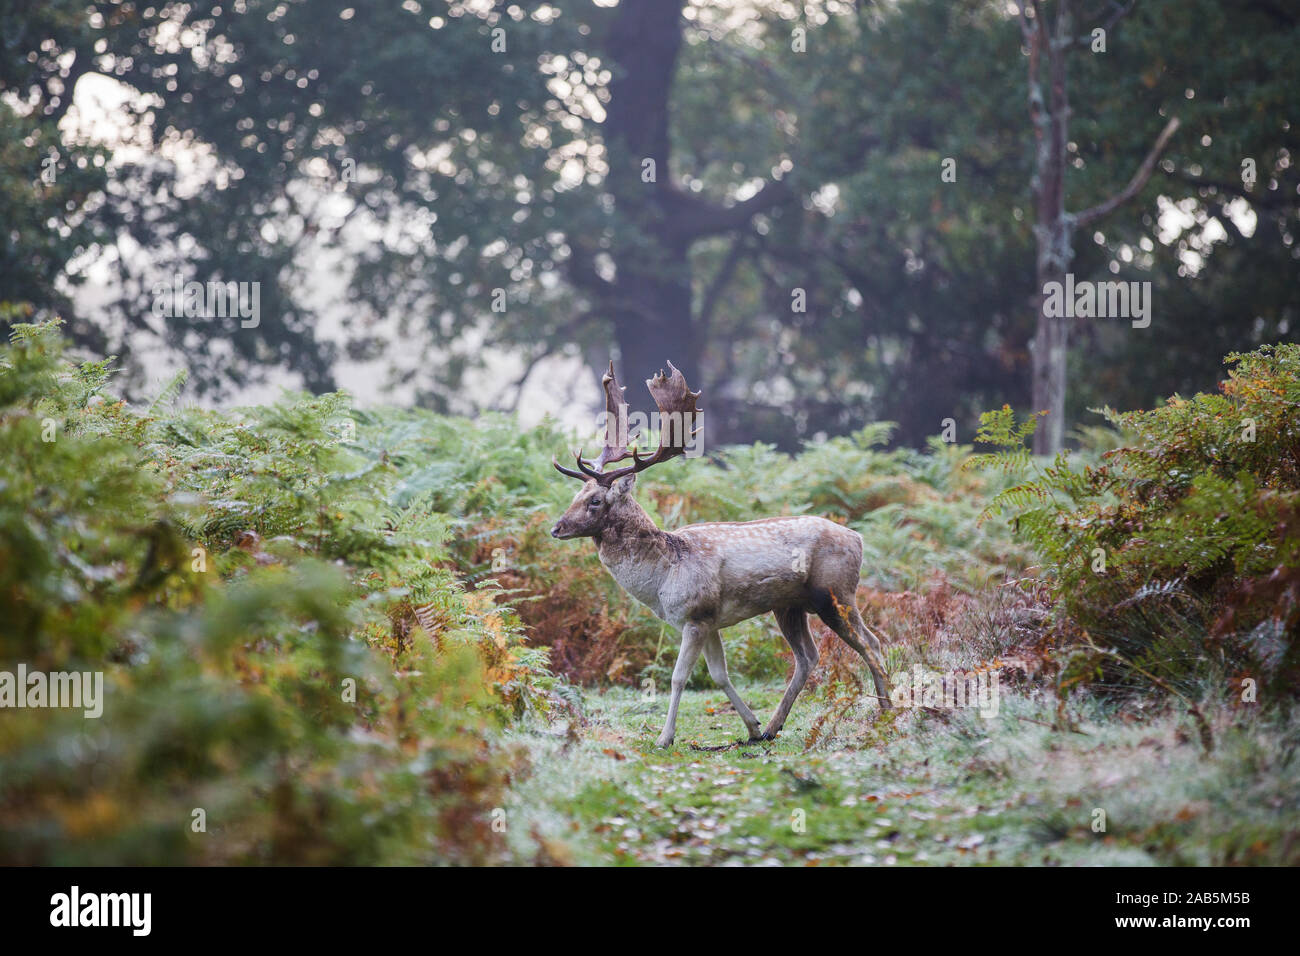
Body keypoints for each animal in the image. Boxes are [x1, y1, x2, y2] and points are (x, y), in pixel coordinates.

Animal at [548, 358, 894, 749]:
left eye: (594, 501)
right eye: (575, 496)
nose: (557, 528)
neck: (663, 578)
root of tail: (858, 538)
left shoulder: (696, 614)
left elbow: (679, 677)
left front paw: (665, 738)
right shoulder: (710, 619)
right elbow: (719, 675)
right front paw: (752, 727)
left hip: (836, 593)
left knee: (872, 644)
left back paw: (886, 714)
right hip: (789, 606)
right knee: (809, 656)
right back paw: (773, 727)